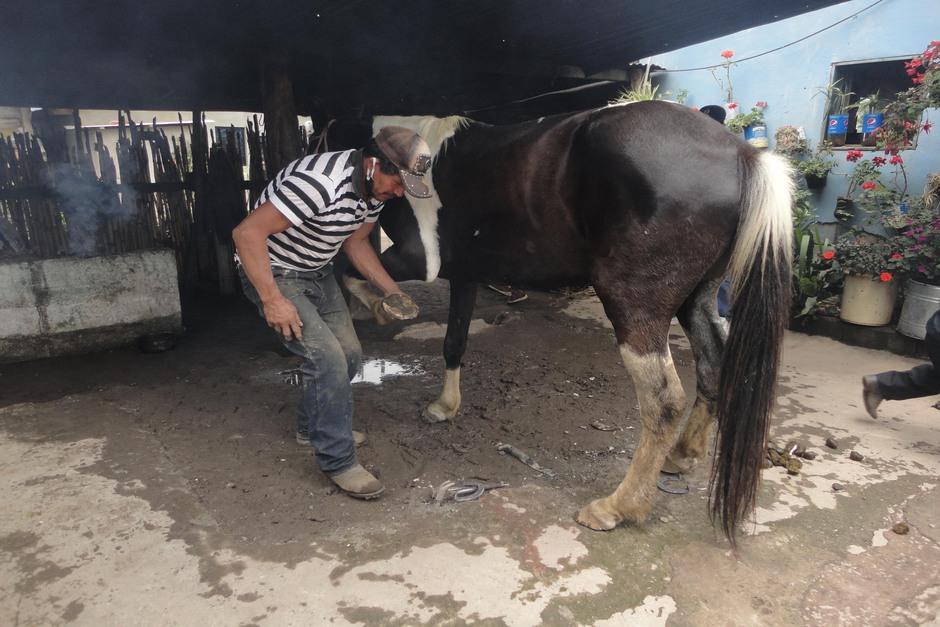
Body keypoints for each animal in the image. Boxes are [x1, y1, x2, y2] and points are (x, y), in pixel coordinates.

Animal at [341, 101, 793, 544]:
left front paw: (380, 308)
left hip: (634, 305)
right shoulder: (465, 272)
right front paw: (445, 405)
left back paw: (617, 508)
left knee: (663, 401)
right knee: (713, 365)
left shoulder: (418, 259)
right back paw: (681, 456)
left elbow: (349, 271)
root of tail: (743, 155)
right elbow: (453, 341)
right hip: (697, 297)